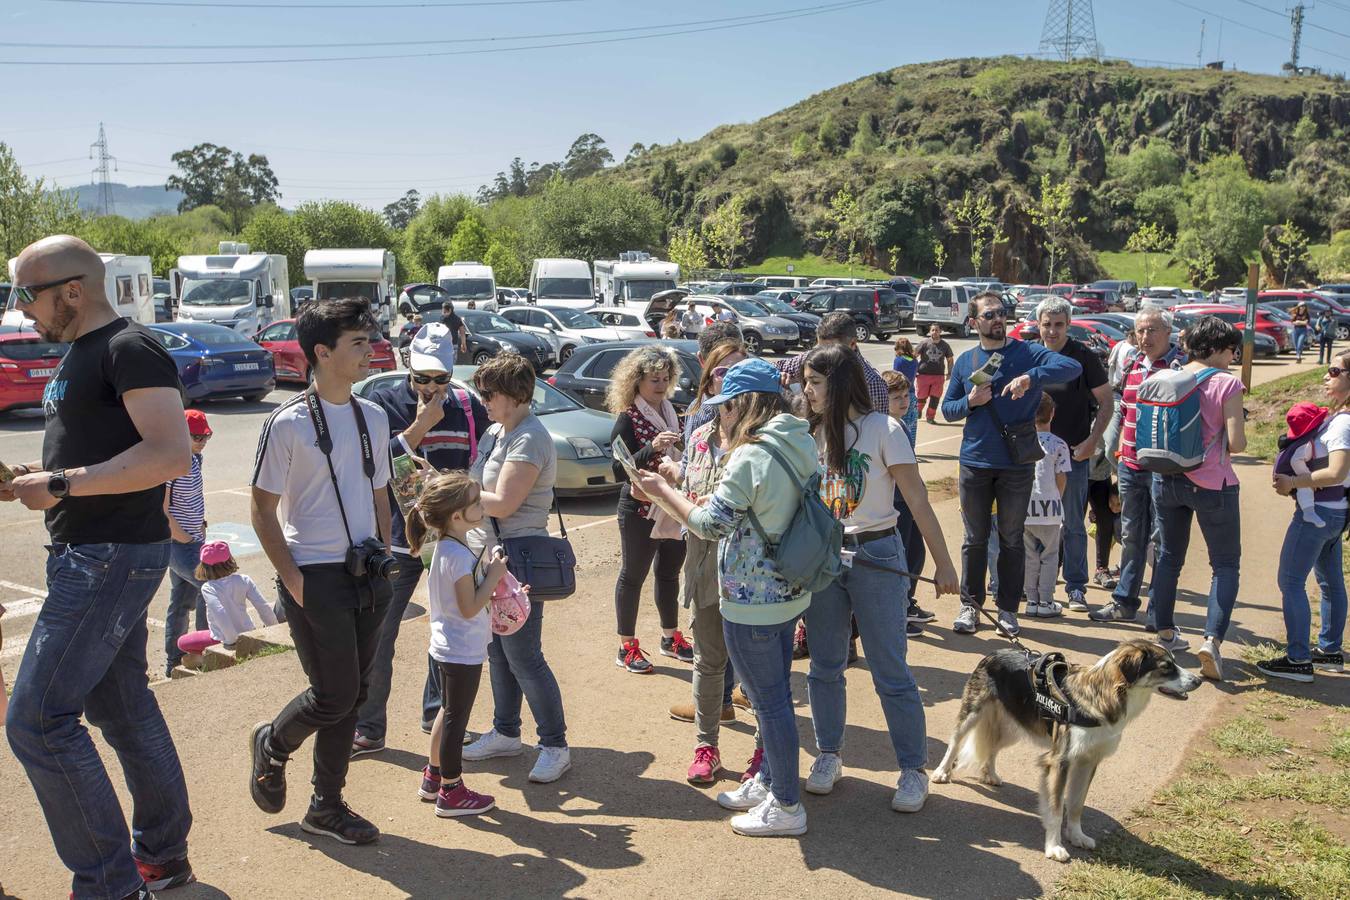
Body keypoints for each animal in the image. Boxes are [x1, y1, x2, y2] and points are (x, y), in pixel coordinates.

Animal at [928, 639, 1204, 863]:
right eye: (1166, 666)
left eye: (1174, 663)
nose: (1199, 680)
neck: (1099, 696)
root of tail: (997, 651)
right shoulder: (1059, 760)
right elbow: (1056, 808)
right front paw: (1054, 847)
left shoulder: (1088, 760)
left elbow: (1077, 803)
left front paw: (1077, 835)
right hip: (974, 712)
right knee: (955, 741)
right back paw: (942, 772)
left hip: (1015, 724)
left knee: (992, 746)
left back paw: (990, 774)